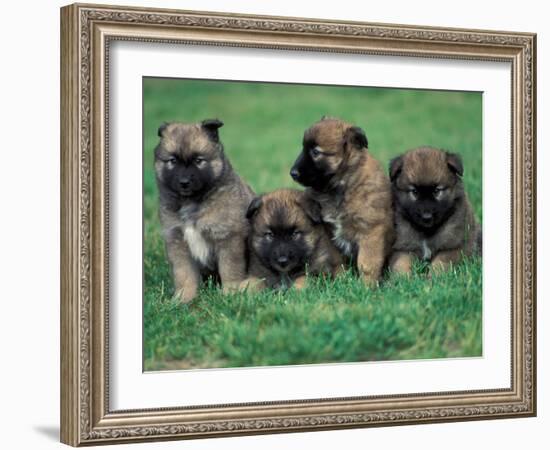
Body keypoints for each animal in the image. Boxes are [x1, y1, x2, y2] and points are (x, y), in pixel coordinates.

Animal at [155, 119, 256, 302]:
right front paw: (184, 298)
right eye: (172, 160)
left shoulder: (228, 238)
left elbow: (230, 269)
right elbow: (184, 274)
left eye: (198, 160)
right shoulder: (177, 241)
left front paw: (230, 294)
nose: (184, 182)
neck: (192, 202)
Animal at [292, 116, 394, 284]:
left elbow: (367, 264)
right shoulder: (329, 233)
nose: (292, 173)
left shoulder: (371, 231)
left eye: (315, 152)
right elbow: (336, 261)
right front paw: (341, 281)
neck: (342, 185)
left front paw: (366, 286)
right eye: (303, 148)